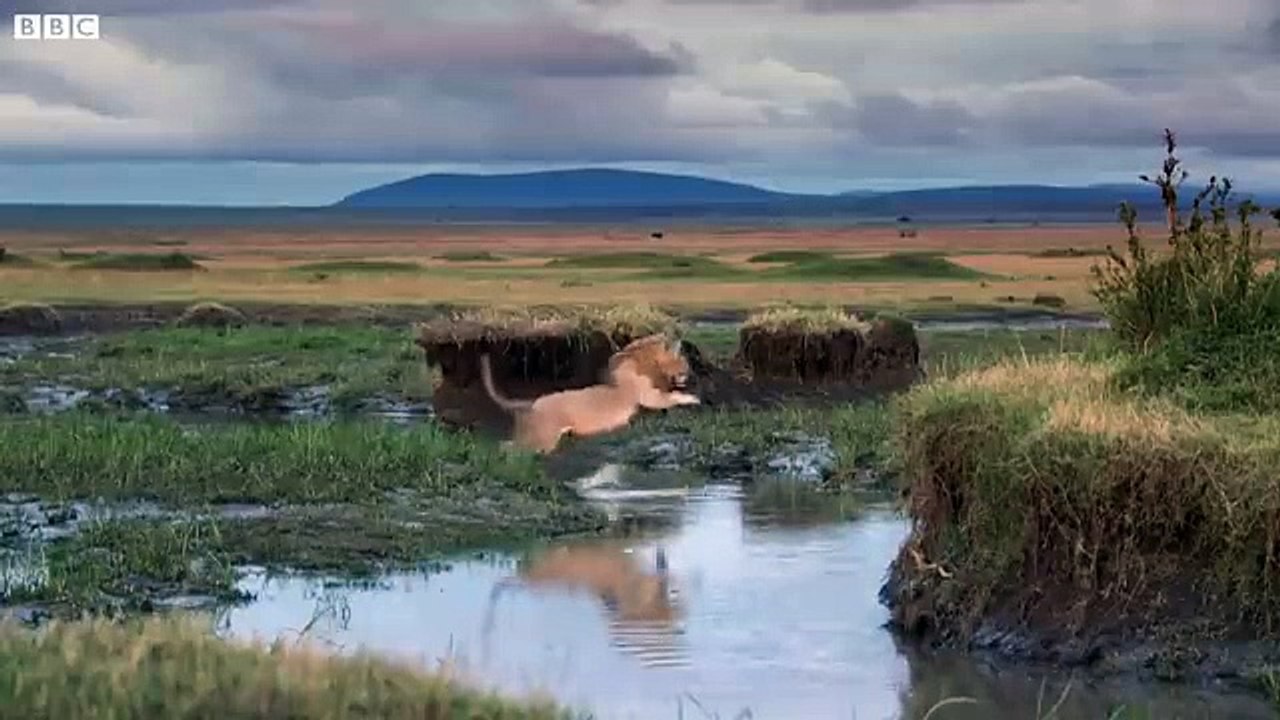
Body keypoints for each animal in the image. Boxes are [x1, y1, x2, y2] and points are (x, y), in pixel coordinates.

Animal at [479, 333, 700, 454]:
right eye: (684, 361)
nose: (689, 373)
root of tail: (531, 403)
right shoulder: (649, 396)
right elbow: (670, 397)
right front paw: (693, 398)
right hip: (543, 438)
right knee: (512, 448)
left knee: (505, 444)